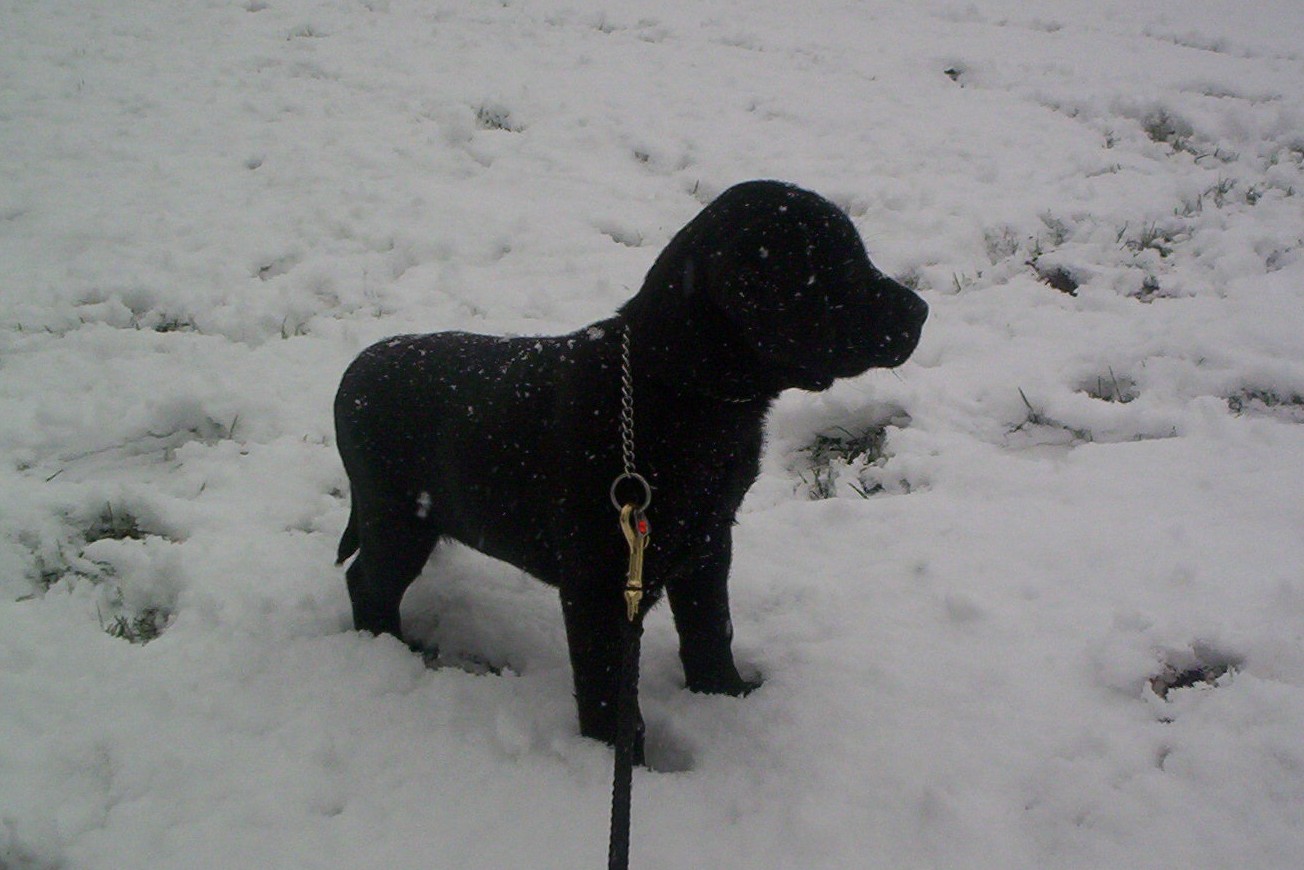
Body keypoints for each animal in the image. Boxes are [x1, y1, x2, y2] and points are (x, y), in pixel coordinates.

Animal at [336, 182, 928, 751]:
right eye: (838, 269)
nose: (921, 310)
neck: (676, 389)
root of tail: (353, 372)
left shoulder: (707, 542)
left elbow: (712, 630)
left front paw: (726, 697)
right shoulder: (598, 583)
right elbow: (608, 692)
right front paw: (618, 759)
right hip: (398, 520)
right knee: (366, 581)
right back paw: (389, 650)